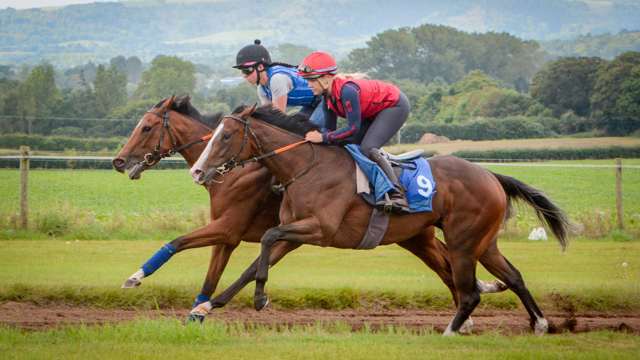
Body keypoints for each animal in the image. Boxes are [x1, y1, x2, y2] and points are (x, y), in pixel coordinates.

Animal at [111, 97, 504, 324]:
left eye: (146, 127)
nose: (118, 161)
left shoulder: (232, 227)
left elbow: (177, 242)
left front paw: (135, 277)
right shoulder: (231, 235)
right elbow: (216, 274)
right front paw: (199, 310)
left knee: (451, 264)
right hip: (415, 236)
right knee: (447, 264)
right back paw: (474, 304)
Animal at [190, 105, 568, 336]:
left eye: (225, 136)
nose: (197, 171)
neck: (305, 167)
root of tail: (490, 174)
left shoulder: (319, 229)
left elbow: (266, 239)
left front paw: (257, 300)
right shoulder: (295, 234)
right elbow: (253, 265)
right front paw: (208, 305)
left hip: (464, 241)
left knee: (469, 289)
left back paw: (450, 330)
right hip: (481, 242)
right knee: (512, 276)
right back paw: (540, 324)